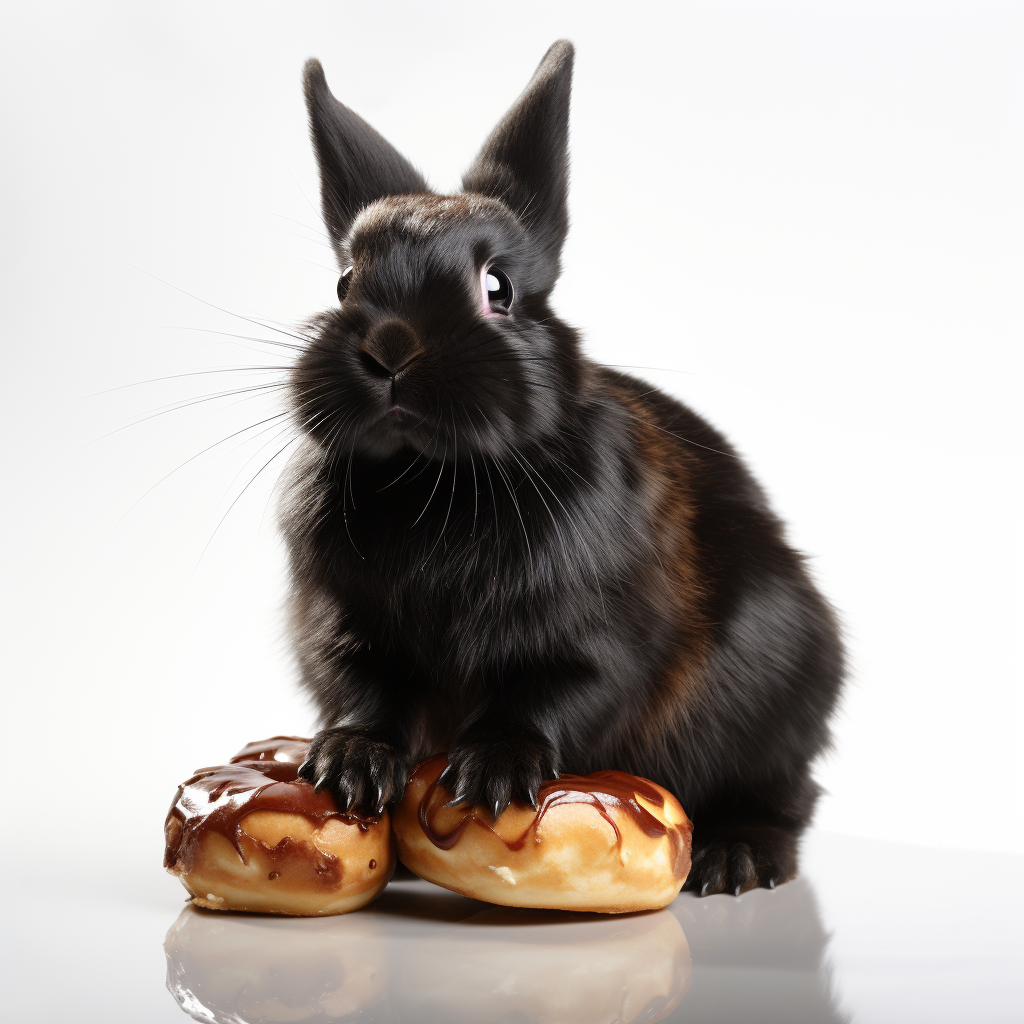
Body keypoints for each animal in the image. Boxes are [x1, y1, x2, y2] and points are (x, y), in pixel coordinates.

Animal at [284, 39, 843, 892]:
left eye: (498, 288)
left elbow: (555, 693)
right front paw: (348, 766)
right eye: (345, 282)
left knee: (788, 797)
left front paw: (492, 773)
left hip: (780, 693)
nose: (389, 348)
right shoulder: (345, 626)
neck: (434, 480)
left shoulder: (600, 637)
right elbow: (367, 692)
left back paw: (732, 857)